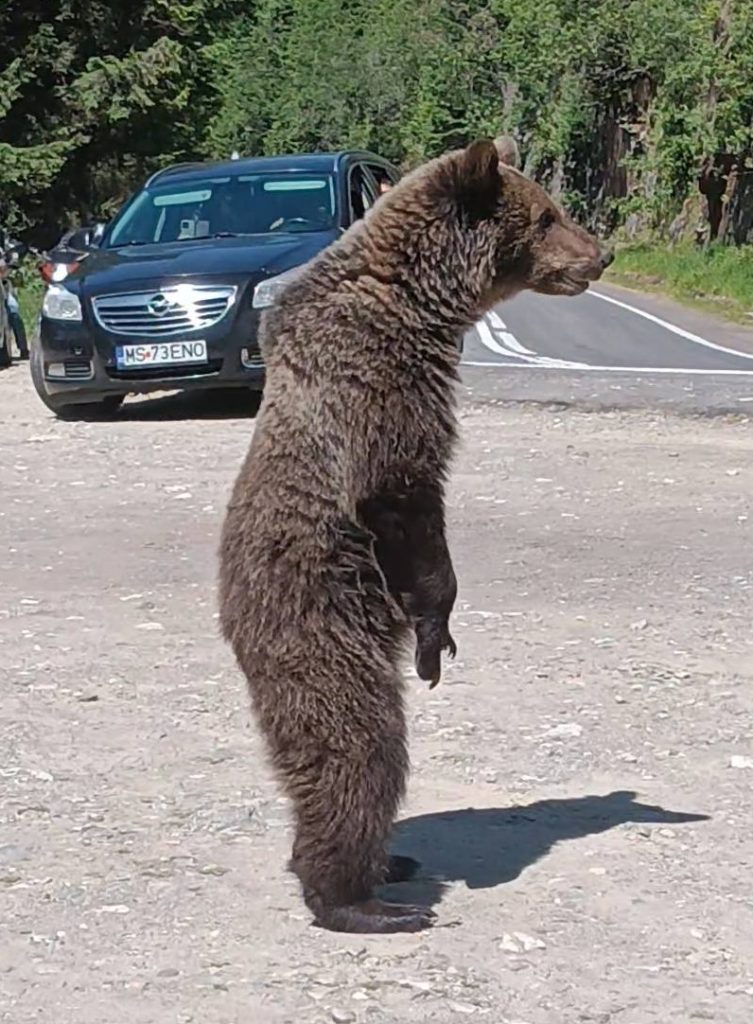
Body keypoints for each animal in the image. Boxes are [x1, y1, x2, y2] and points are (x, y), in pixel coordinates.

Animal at [218, 137, 611, 934]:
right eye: (547, 216)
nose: (601, 254)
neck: (422, 305)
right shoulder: (380, 386)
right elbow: (405, 506)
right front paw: (437, 635)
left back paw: (389, 861)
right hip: (321, 624)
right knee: (356, 748)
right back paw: (364, 901)